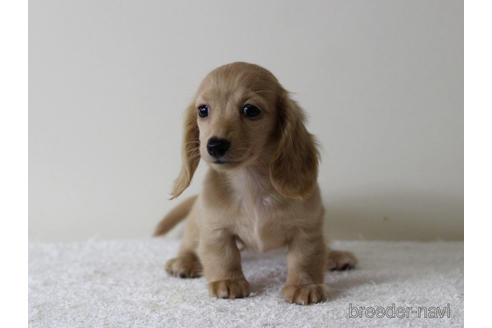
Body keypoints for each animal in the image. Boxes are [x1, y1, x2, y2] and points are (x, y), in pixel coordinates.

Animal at [156, 62, 356, 304]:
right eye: (202, 110)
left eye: (250, 110)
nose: (215, 145)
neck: (251, 184)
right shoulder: (216, 230)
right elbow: (223, 256)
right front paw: (228, 281)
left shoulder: (306, 229)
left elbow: (304, 259)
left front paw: (303, 285)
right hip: (195, 224)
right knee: (189, 245)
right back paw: (184, 262)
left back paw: (335, 256)